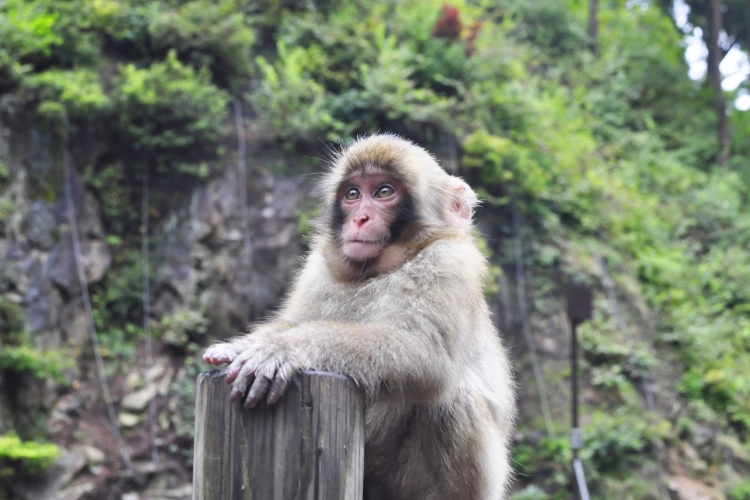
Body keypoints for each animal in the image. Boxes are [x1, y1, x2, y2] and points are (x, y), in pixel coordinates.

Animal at [206, 134, 516, 500]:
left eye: (384, 191)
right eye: (353, 194)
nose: (360, 219)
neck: (377, 270)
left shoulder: (450, 262)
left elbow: (425, 351)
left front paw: (285, 348)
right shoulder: (318, 267)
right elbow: (294, 319)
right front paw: (244, 344)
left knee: (454, 399)